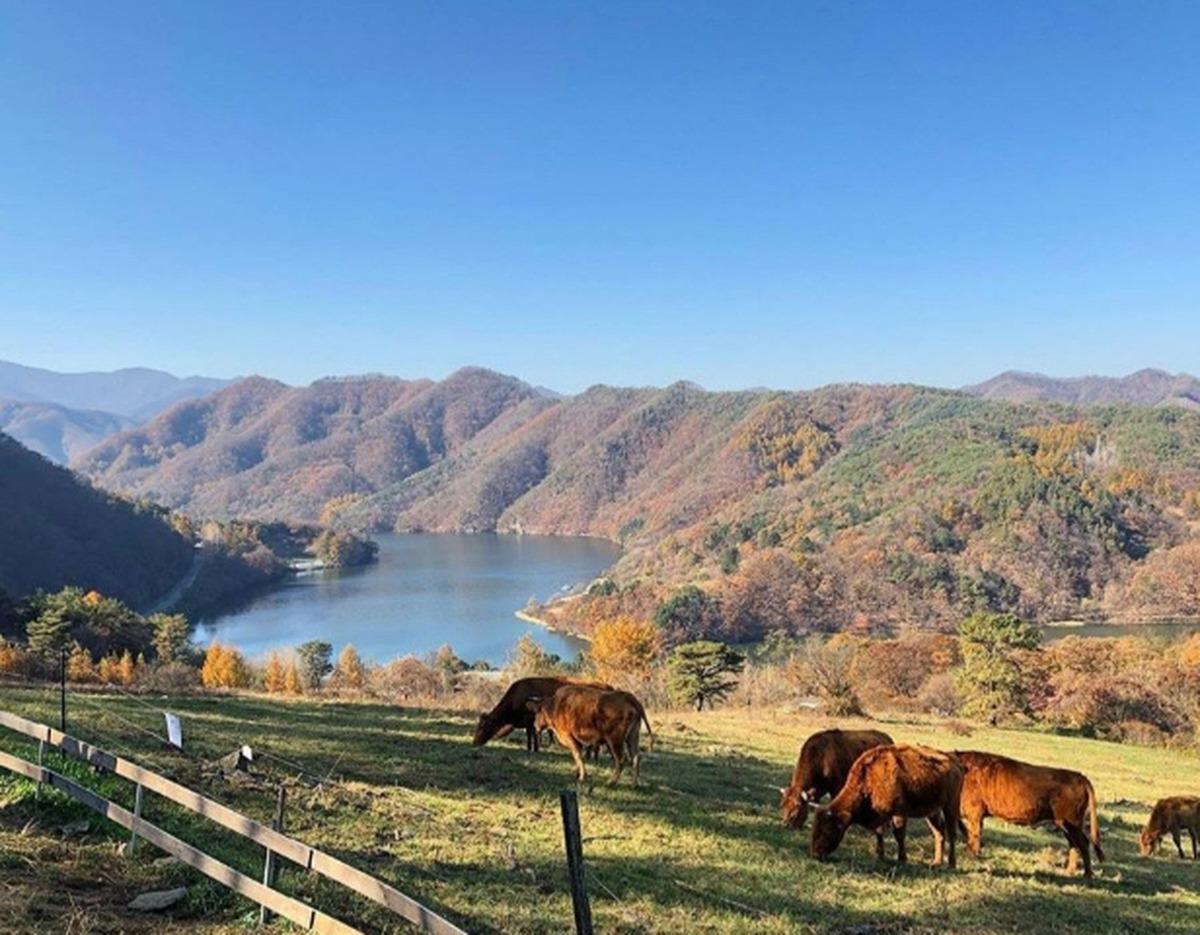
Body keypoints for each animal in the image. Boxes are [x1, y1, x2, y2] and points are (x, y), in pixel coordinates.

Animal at [472, 677, 611, 752]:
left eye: (483, 727)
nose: (474, 742)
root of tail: (607, 686)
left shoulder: (529, 718)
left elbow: (531, 734)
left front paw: (533, 748)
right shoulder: (529, 721)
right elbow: (531, 734)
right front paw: (532, 748)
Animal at [810, 744, 963, 869]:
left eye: (828, 829)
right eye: (815, 828)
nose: (815, 854)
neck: (869, 779)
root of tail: (955, 763)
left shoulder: (899, 813)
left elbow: (899, 835)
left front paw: (902, 859)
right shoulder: (880, 813)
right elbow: (879, 832)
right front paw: (880, 856)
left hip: (950, 806)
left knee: (951, 833)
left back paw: (951, 864)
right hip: (932, 812)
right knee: (939, 832)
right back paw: (936, 862)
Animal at [955, 750, 1104, 877]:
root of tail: (1080, 777)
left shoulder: (974, 814)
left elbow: (974, 835)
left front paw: (970, 855)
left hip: (1071, 823)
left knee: (1082, 843)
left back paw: (1087, 875)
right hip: (1065, 824)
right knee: (1073, 844)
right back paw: (1069, 871)